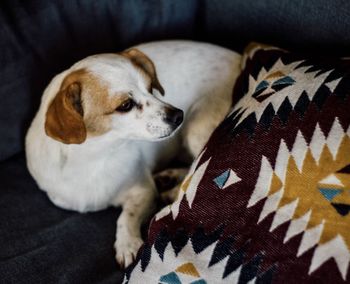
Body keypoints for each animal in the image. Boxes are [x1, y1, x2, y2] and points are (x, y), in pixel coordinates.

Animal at [24, 40, 241, 268]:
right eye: (125, 105)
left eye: (150, 88)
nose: (178, 115)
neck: (96, 157)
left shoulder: (144, 191)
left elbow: (126, 216)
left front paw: (127, 243)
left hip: (196, 129)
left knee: (198, 167)